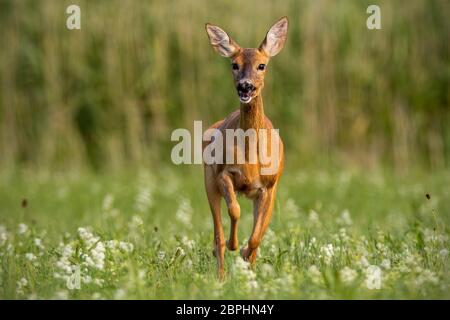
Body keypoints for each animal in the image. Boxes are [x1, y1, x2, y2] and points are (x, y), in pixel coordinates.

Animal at [204, 16, 288, 278]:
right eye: (234, 64)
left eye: (262, 65)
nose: (245, 86)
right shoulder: (223, 173)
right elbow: (234, 210)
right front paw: (235, 246)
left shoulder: (269, 186)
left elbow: (257, 236)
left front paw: (244, 253)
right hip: (208, 179)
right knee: (217, 235)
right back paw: (220, 275)